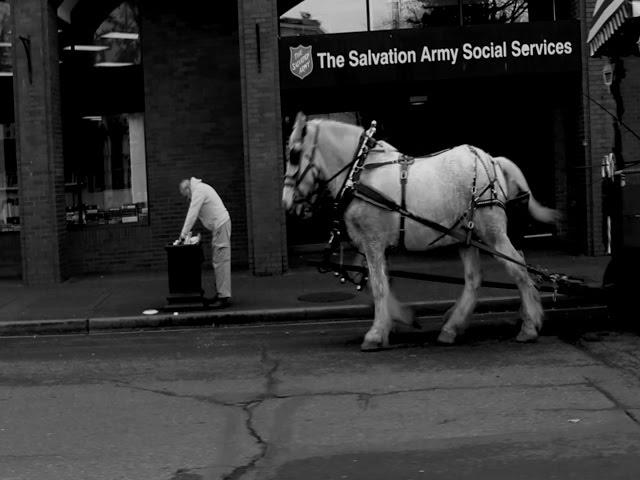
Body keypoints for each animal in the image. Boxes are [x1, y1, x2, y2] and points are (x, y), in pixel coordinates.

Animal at [282, 114, 556, 350]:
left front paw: (376, 333)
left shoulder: (373, 241)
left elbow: (379, 286)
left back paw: (529, 325)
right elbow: (376, 283)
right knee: (474, 279)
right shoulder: (374, 246)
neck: (359, 172)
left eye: (294, 155)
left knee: (518, 267)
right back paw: (452, 327)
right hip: (466, 237)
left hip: (491, 233)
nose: (286, 203)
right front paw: (398, 319)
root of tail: (491, 160)